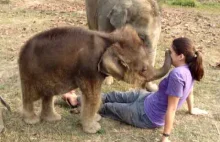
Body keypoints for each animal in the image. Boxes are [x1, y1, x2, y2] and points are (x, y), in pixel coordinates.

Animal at [18, 25, 171, 133]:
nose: (169, 50)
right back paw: (32, 121)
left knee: (49, 95)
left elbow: (92, 96)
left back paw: (53, 119)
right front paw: (94, 129)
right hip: (29, 73)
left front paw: (95, 120)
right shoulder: (89, 68)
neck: (110, 38)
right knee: (30, 96)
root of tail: (22, 48)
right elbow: (93, 96)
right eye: (143, 69)